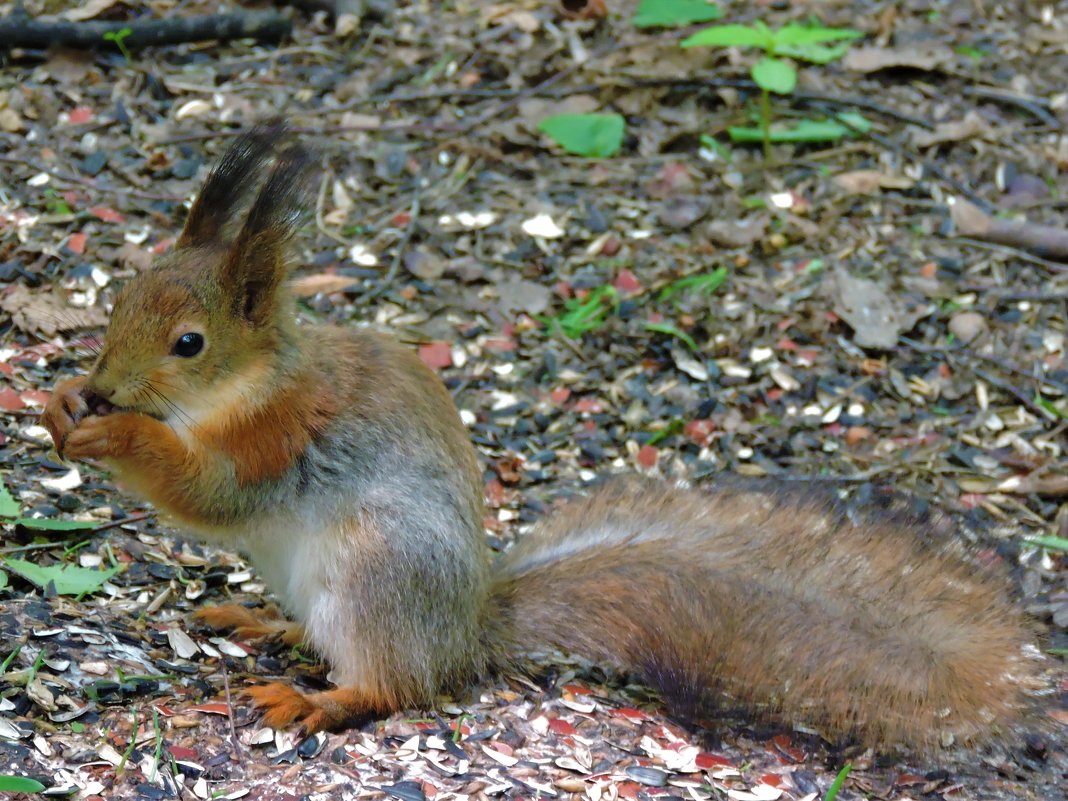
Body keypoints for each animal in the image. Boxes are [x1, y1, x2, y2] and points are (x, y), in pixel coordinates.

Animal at [41, 122, 1033, 751]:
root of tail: (465, 632)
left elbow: (210, 492)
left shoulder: (280, 438)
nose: (103, 386)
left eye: (189, 344)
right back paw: (259, 620)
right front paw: (59, 402)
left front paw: (116, 435)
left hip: (376, 573)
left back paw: (316, 698)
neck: (249, 381)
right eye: (124, 294)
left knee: (394, 685)